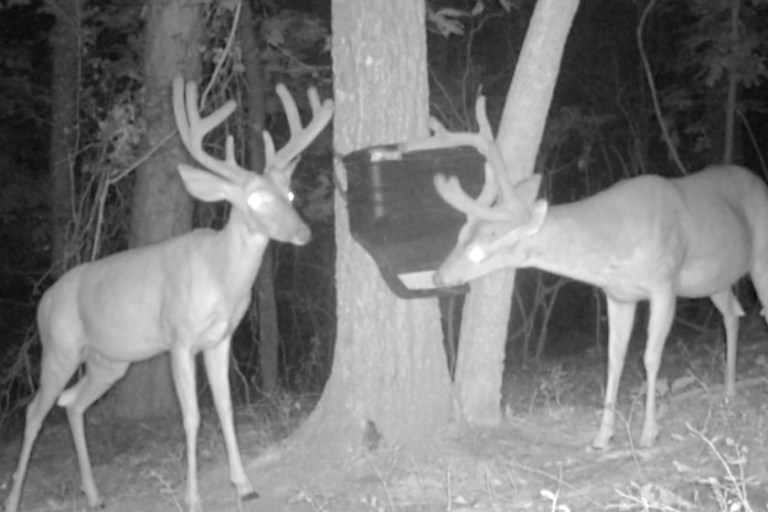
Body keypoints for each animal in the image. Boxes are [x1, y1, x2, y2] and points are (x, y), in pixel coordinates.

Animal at [4, 76, 333, 512]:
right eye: (256, 198)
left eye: (290, 195)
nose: (303, 232)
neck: (221, 278)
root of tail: (44, 299)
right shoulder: (180, 338)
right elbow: (191, 416)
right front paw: (192, 497)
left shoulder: (220, 339)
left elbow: (225, 408)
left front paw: (244, 485)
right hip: (59, 347)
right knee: (34, 411)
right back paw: (14, 498)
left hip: (110, 361)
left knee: (72, 404)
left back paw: (94, 494)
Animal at [406, 95, 768, 449]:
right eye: (460, 235)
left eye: (486, 240)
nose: (438, 277)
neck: (612, 247)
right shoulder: (619, 295)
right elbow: (614, 357)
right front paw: (602, 436)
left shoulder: (664, 284)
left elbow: (650, 357)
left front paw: (649, 434)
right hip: (713, 279)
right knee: (733, 312)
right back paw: (728, 392)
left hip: (758, 258)